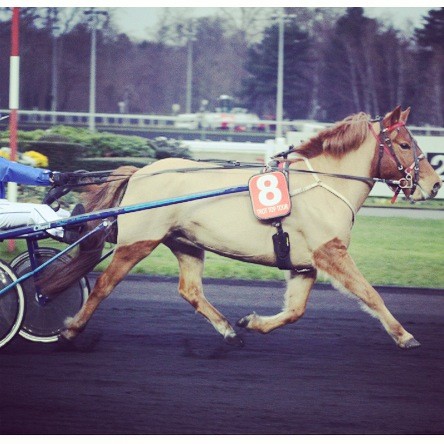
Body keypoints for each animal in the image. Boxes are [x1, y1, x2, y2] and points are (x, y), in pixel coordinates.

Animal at [47, 106, 440, 350]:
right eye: (405, 144)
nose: (434, 184)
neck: (323, 185)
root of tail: (140, 172)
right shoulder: (331, 252)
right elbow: (370, 294)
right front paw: (405, 335)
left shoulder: (305, 264)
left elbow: (296, 311)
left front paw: (252, 322)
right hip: (138, 242)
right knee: (103, 286)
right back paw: (69, 330)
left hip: (187, 243)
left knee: (190, 290)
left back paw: (227, 331)